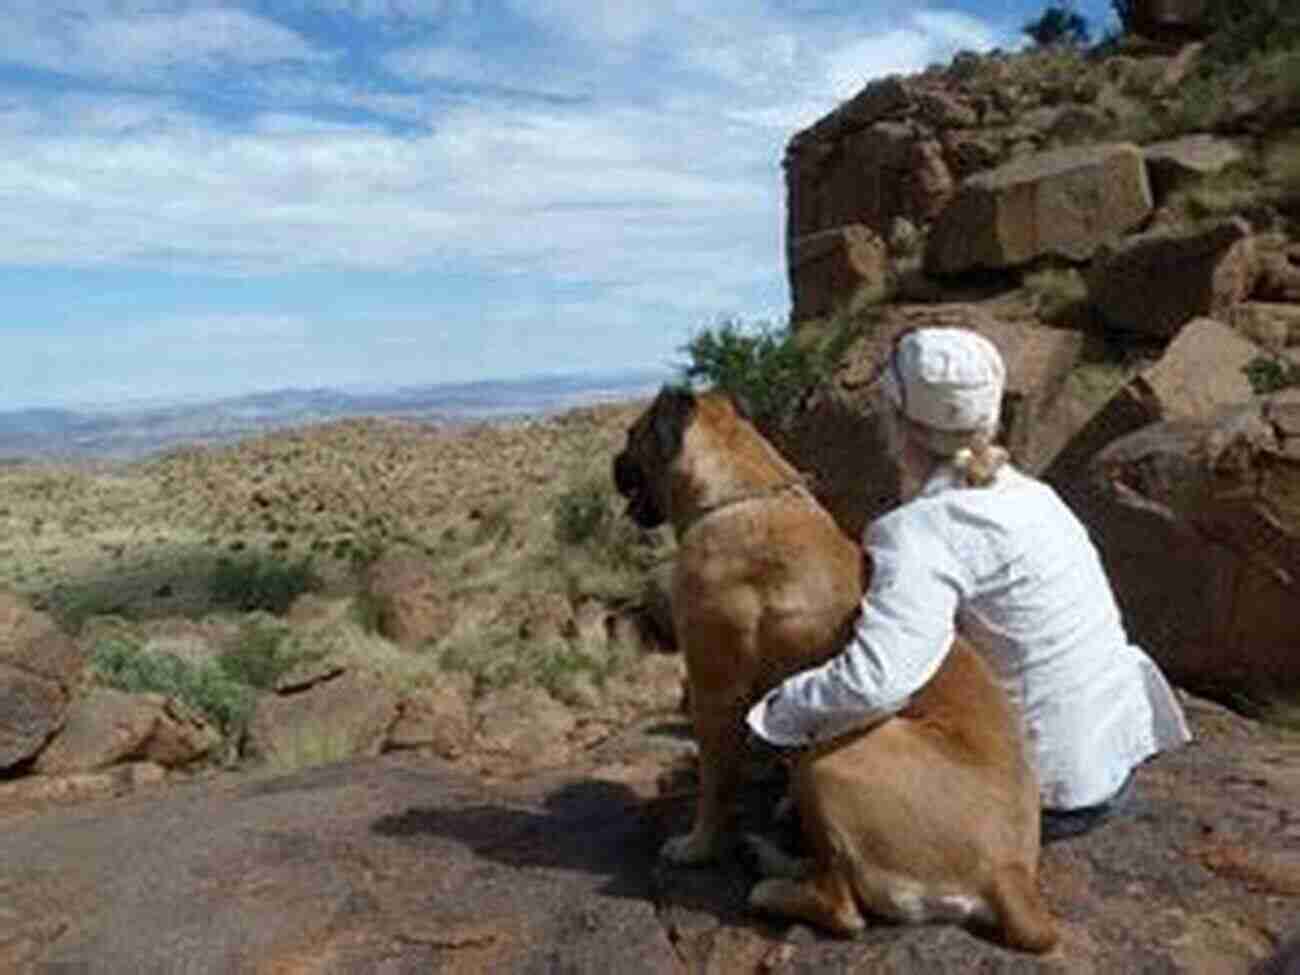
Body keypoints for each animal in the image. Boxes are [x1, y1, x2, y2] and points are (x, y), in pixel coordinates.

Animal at [611, 390, 1055, 956]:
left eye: (631, 435)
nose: (614, 463)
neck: (742, 495)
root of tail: (1009, 873)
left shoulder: (715, 693)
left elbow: (716, 785)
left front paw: (697, 846)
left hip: (835, 751)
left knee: (843, 909)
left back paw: (770, 881)